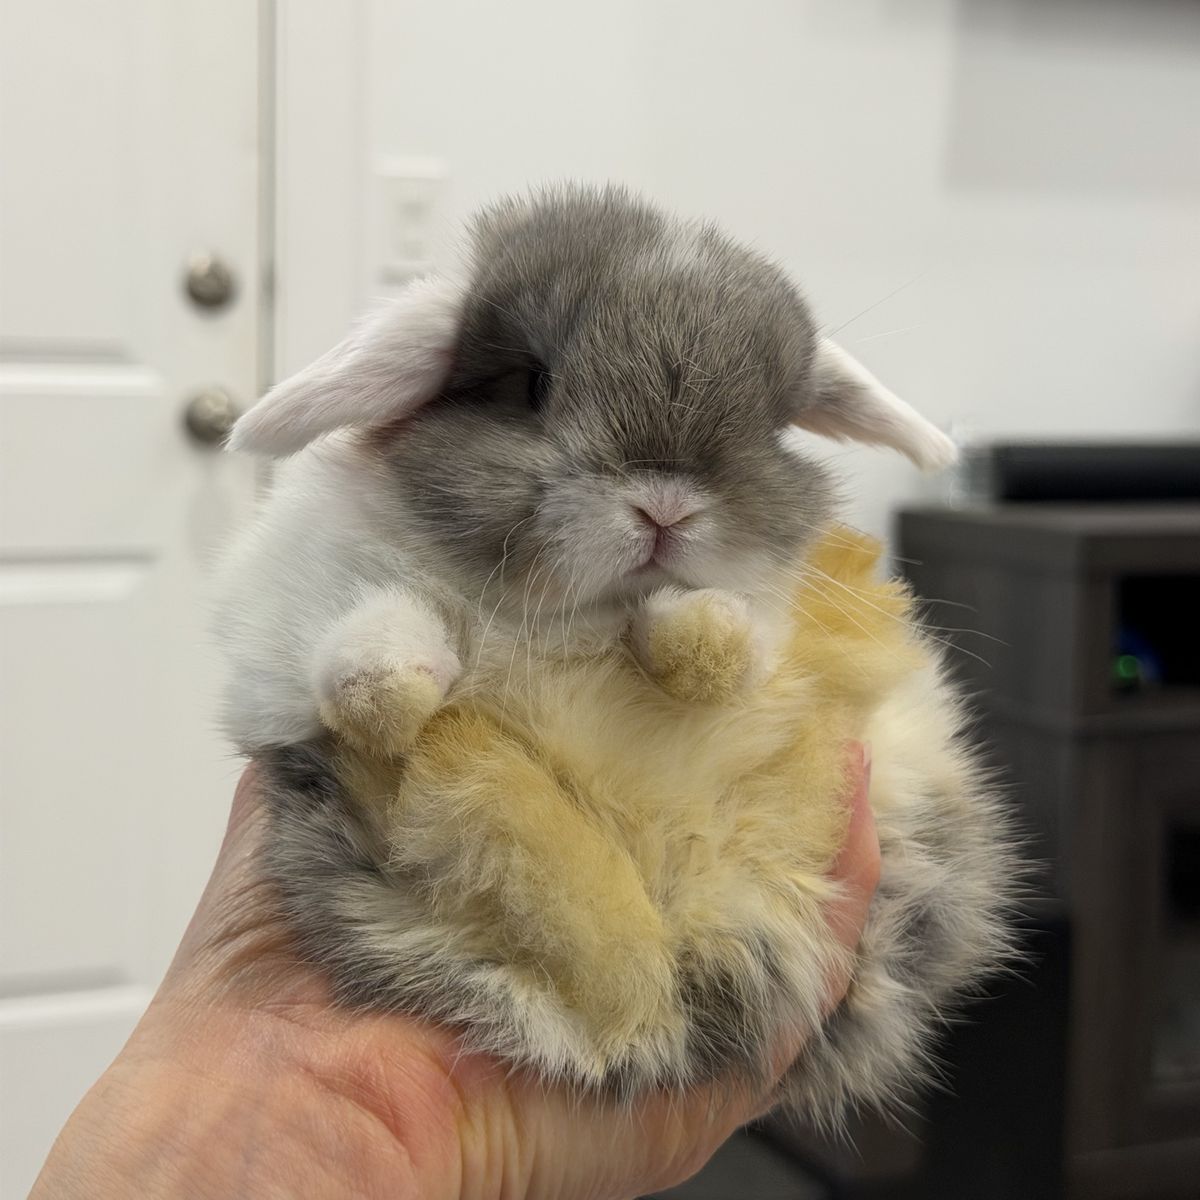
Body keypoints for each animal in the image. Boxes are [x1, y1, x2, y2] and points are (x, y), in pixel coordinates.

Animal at [216, 184, 1016, 1124]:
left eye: (770, 424)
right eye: (530, 384)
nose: (665, 507)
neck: (570, 624)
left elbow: (746, 641)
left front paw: (698, 637)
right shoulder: (293, 606)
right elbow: (374, 624)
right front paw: (383, 689)